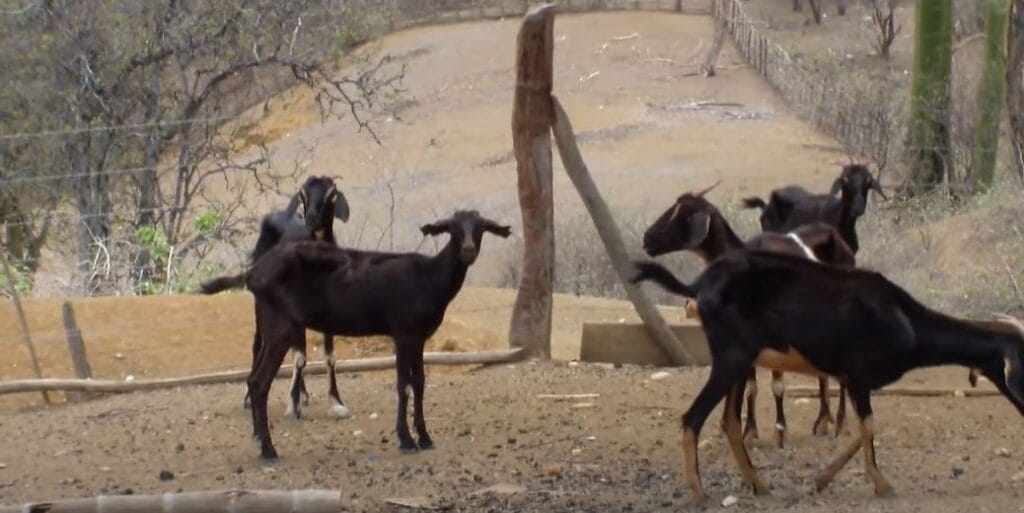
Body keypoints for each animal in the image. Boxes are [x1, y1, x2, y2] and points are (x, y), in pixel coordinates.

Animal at [201, 175, 351, 421]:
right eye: (302, 195)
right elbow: (300, 356)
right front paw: (293, 406)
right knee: (258, 343)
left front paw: (336, 401)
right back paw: (249, 397)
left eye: (331, 195)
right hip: (262, 303)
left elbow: (329, 356)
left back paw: (304, 394)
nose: (311, 219)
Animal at [204, 210, 510, 460]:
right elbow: (404, 385)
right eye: (453, 228)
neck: (429, 277)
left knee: (253, 377)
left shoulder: (419, 338)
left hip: (271, 327)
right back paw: (269, 450)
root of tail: (253, 273)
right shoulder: (403, 334)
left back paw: (259, 440)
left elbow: (420, 383)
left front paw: (424, 437)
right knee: (260, 382)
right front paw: (407, 440)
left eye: (481, 227)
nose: (468, 250)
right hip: (282, 327)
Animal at [630, 252, 1024, 504]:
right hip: (732, 357)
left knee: (729, 420)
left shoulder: (850, 380)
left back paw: (759, 485)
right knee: (693, 418)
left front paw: (822, 480)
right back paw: (699, 493)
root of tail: (698, 285)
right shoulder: (859, 376)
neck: (905, 319)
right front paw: (881, 484)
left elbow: (861, 428)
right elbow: (868, 426)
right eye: (1021, 366)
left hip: (740, 363)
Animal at [642, 183, 855, 448]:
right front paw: (749, 430)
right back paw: (823, 420)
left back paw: (841, 422)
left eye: (681, 213)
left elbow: (777, 385)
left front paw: (780, 431)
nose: (647, 238)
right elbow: (751, 385)